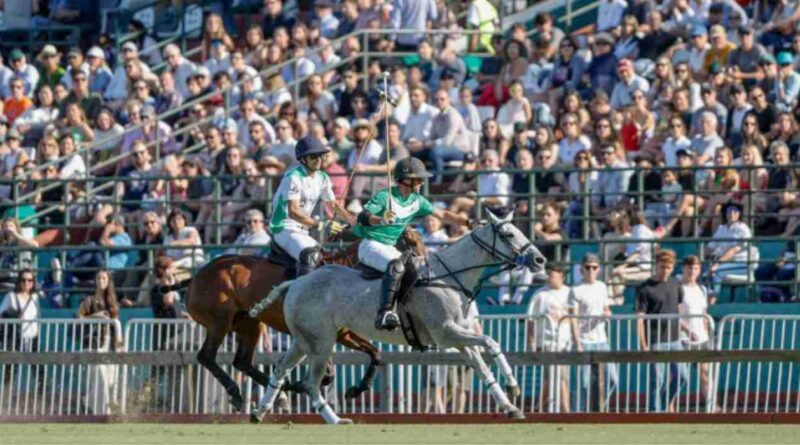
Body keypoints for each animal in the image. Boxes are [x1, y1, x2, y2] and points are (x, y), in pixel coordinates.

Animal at [166, 231, 428, 412]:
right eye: (412, 244)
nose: (424, 275)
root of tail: (195, 276)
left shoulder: (343, 333)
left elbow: (375, 353)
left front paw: (356, 389)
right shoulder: (329, 334)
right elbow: (328, 373)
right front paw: (301, 385)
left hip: (250, 323)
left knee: (242, 361)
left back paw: (278, 393)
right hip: (219, 321)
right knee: (207, 356)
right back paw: (240, 394)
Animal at [252, 212, 552, 424]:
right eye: (508, 234)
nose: (540, 260)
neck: (450, 278)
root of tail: (296, 282)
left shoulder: (460, 340)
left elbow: (484, 367)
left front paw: (511, 407)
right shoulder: (446, 333)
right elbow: (491, 341)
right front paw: (514, 386)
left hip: (303, 340)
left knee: (281, 369)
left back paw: (260, 411)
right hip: (322, 343)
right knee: (311, 384)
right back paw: (336, 420)